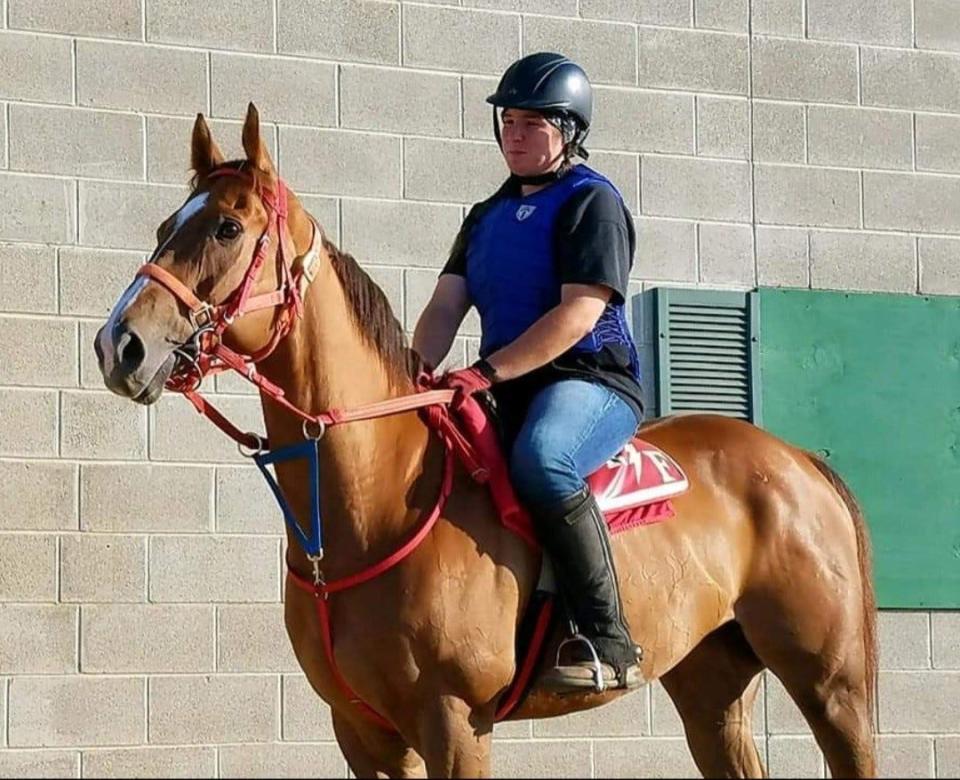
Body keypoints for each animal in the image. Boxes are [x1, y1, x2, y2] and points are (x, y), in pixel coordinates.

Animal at [95, 105, 876, 780]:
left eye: (226, 228)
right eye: (167, 224)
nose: (120, 345)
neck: (377, 503)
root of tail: (797, 461)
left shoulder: (454, 723)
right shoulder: (364, 733)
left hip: (830, 683)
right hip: (711, 683)